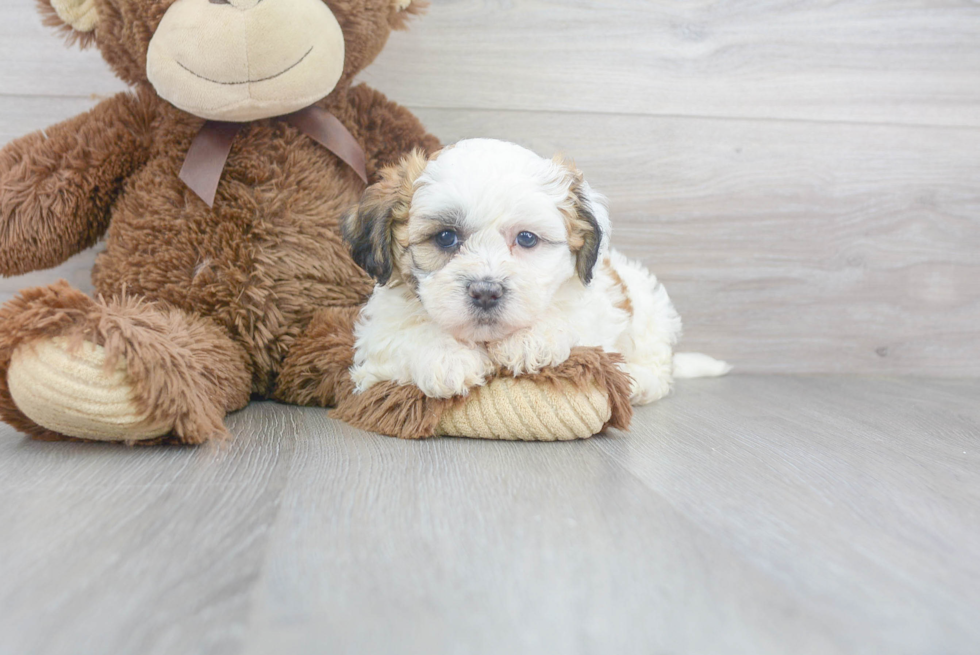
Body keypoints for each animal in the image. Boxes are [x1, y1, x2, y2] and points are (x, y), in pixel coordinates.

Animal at [342, 140, 728, 400]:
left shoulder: (593, 310)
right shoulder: (376, 340)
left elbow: (570, 318)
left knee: (658, 368)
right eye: (446, 237)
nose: (486, 291)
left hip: (649, 313)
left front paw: (530, 339)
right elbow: (404, 335)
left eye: (526, 238)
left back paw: (638, 380)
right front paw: (445, 358)